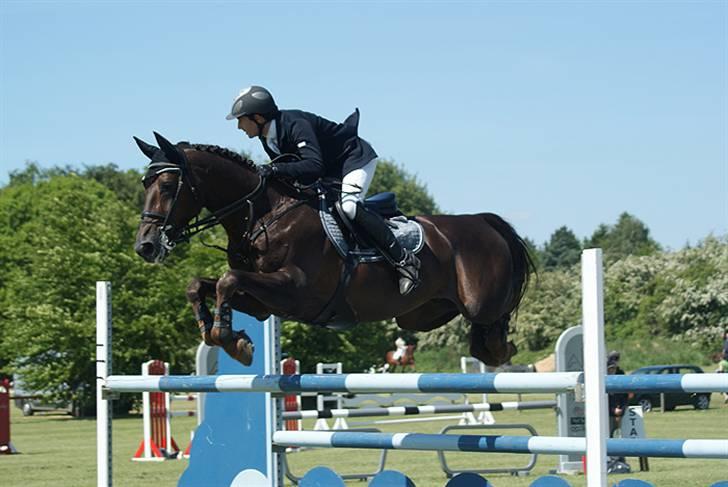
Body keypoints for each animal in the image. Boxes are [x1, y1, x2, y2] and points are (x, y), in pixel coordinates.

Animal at [135, 132, 536, 368]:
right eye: (145, 183)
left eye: (168, 185)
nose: (145, 245)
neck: (262, 214)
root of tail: (484, 221)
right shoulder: (265, 303)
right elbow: (202, 284)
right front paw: (217, 332)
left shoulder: (294, 288)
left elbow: (227, 280)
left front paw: (232, 342)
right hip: (420, 315)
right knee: (479, 342)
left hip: (481, 304)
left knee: (495, 329)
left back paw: (510, 354)